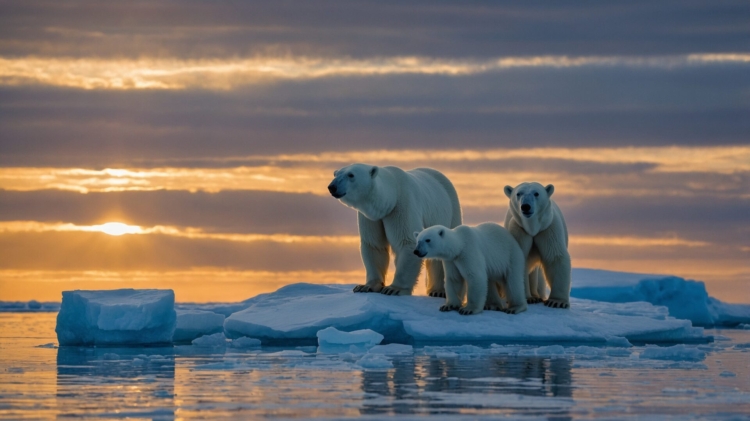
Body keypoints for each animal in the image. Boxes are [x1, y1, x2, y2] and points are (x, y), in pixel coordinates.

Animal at [328, 164, 462, 296]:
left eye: (351, 175)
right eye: (335, 174)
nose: (332, 187)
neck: (391, 196)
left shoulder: (401, 207)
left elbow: (407, 241)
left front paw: (393, 289)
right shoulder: (371, 218)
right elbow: (374, 245)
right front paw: (366, 286)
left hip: (451, 210)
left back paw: (438, 291)